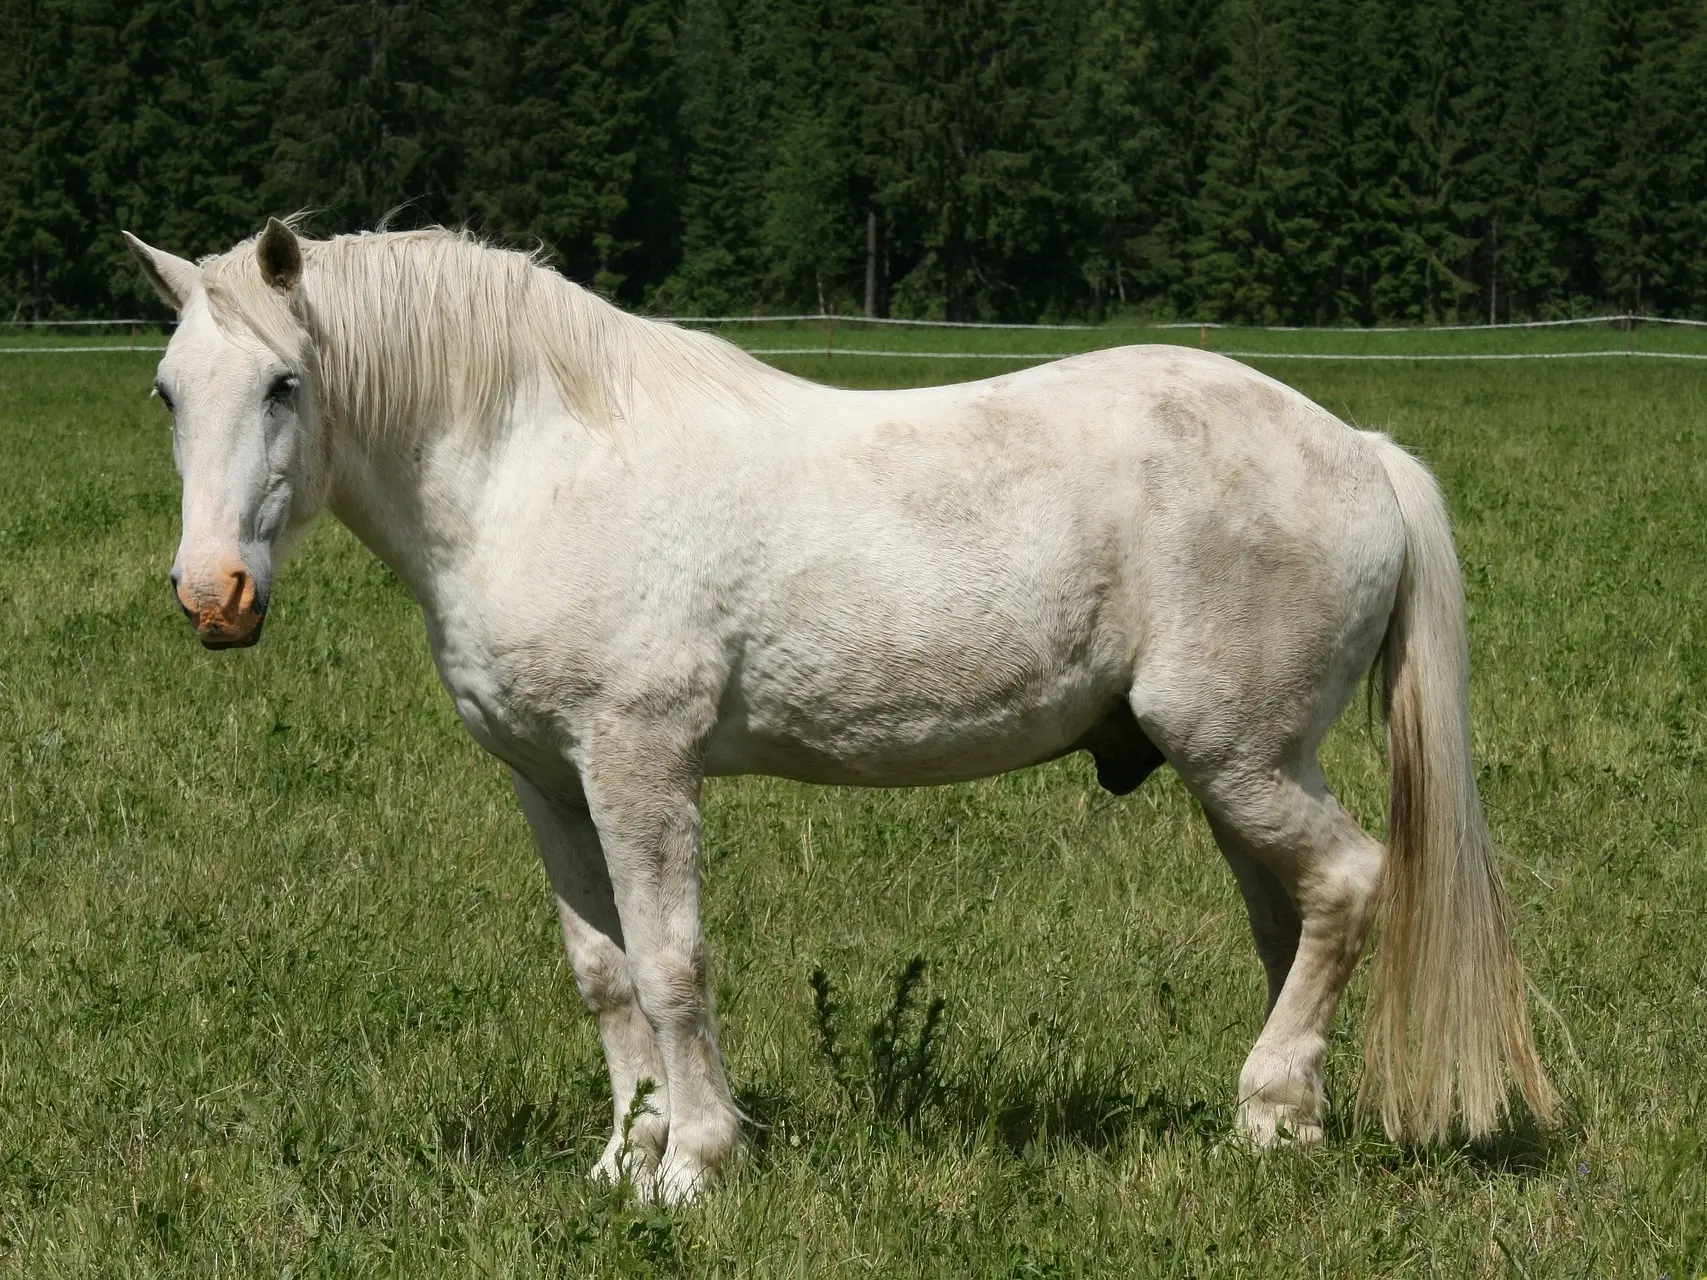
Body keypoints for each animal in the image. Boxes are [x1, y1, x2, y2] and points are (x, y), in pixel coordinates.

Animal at [126, 220, 1556, 1201]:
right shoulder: (550, 778)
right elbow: (605, 975)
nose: (213, 596)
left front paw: (696, 1162)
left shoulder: (640, 762)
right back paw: (1289, 1116)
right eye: (167, 392)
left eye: (285, 387)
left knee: (1351, 883)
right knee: (1293, 913)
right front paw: (625, 1153)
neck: (536, 464)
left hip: (1241, 755)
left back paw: (1268, 1098)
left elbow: (673, 961)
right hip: (1243, 770)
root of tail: (1359, 448)